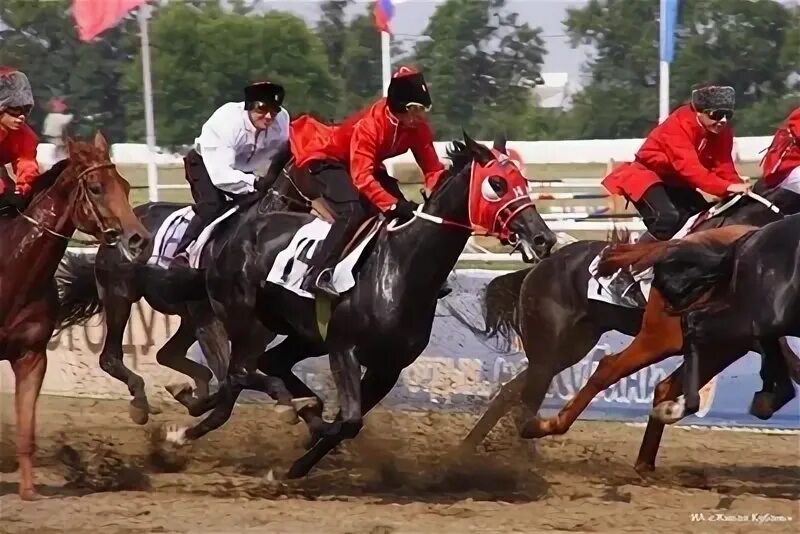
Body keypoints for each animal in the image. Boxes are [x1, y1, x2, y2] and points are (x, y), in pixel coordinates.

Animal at [0, 132, 150, 500]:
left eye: (125, 185)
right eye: (95, 187)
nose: (138, 239)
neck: (11, 270)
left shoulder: (31, 357)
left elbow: (27, 430)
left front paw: (29, 491)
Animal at [159, 133, 552, 478]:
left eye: (522, 180)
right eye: (497, 183)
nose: (542, 238)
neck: (399, 266)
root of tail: (231, 233)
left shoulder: (387, 367)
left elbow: (347, 423)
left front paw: (296, 464)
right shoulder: (343, 348)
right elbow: (348, 421)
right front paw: (299, 443)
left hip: (299, 334)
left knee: (258, 368)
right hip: (244, 318)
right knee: (241, 371)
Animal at [456, 185, 800, 456]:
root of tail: (538, 268)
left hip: (570, 346)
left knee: (511, 390)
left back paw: (471, 449)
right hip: (550, 345)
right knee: (528, 393)